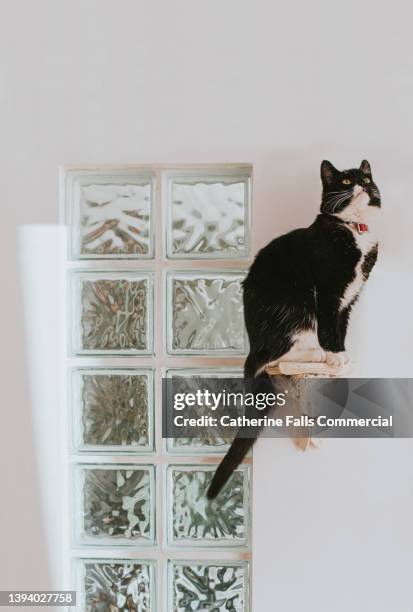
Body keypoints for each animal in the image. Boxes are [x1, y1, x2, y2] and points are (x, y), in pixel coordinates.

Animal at [208, 158, 382, 498]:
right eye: (345, 181)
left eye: (367, 178)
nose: (362, 184)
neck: (354, 229)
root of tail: (252, 344)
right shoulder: (327, 291)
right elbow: (329, 324)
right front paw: (332, 356)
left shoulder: (350, 298)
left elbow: (341, 326)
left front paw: (342, 355)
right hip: (294, 309)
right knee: (275, 357)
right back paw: (315, 355)